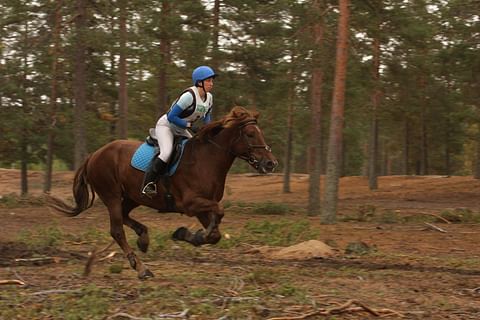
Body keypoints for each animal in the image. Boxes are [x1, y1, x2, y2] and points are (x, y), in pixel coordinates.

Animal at [47, 107, 278, 278]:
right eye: (250, 134)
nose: (271, 163)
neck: (206, 160)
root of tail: (94, 155)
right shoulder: (191, 204)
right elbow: (219, 212)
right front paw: (190, 234)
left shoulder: (202, 207)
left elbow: (215, 234)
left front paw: (188, 235)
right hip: (111, 195)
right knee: (117, 230)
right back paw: (142, 268)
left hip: (133, 196)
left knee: (125, 216)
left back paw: (143, 238)